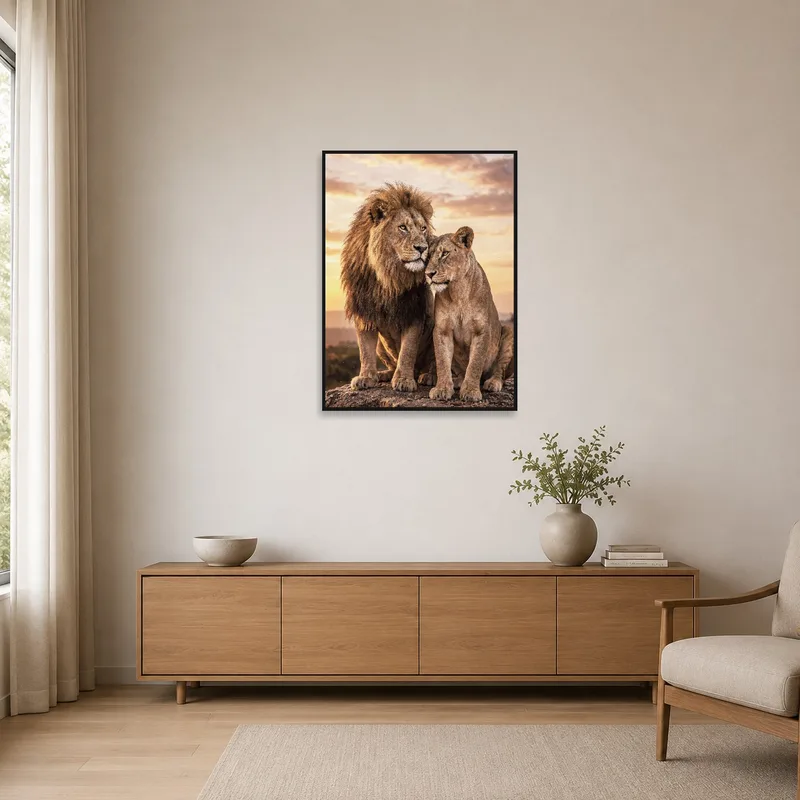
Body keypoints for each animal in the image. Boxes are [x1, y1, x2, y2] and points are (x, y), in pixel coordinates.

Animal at [339, 183, 435, 392]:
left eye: (423, 228)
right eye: (403, 227)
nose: (423, 248)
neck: (388, 276)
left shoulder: (414, 311)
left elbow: (408, 350)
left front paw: (404, 380)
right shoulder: (364, 310)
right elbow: (364, 350)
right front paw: (366, 377)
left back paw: (429, 376)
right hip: (381, 347)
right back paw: (384, 374)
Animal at [425, 226, 514, 402]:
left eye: (445, 253)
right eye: (428, 256)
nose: (429, 274)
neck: (457, 290)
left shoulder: (481, 331)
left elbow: (475, 363)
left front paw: (471, 391)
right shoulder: (442, 330)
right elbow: (442, 362)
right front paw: (442, 388)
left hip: (509, 331)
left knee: (499, 372)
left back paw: (492, 383)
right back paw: (457, 381)